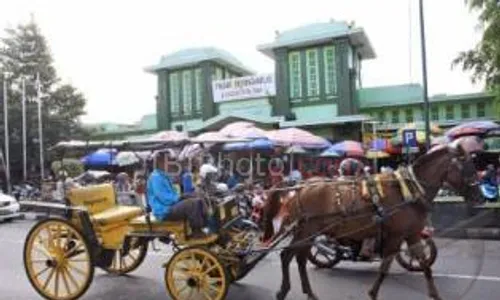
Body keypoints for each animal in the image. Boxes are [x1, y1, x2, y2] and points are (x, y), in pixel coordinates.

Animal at [264, 144, 482, 300]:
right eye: (467, 166)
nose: (479, 197)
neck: (408, 190)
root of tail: (299, 187)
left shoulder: (412, 234)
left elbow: (425, 265)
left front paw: (435, 294)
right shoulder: (395, 236)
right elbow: (384, 267)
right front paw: (373, 293)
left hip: (310, 231)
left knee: (300, 259)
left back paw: (308, 292)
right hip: (307, 229)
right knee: (287, 256)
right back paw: (283, 291)